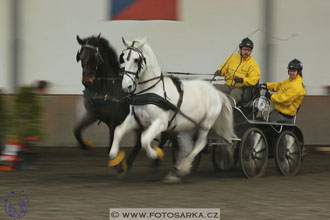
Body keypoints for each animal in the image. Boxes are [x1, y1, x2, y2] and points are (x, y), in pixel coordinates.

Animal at [109, 36, 236, 180]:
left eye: (137, 60)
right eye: (123, 58)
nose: (126, 86)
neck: (151, 90)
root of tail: (216, 91)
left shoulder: (161, 123)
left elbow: (145, 139)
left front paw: (155, 155)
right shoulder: (134, 120)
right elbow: (118, 131)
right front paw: (115, 157)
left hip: (205, 124)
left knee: (200, 144)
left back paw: (184, 166)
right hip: (188, 126)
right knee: (187, 146)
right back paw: (178, 171)